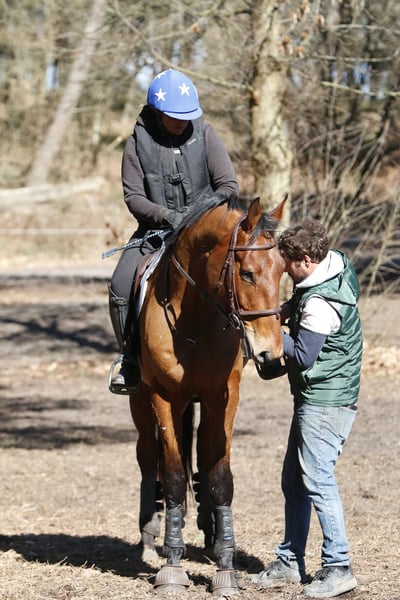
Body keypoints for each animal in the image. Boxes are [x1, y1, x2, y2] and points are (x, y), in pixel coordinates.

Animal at [129, 193, 286, 595]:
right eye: (247, 273)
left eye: (282, 271)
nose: (273, 357)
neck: (193, 322)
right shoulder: (164, 398)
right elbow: (172, 476)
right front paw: (172, 565)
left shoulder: (222, 397)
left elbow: (219, 476)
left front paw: (225, 566)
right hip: (141, 404)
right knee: (148, 457)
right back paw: (150, 534)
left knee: (199, 457)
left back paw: (209, 530)